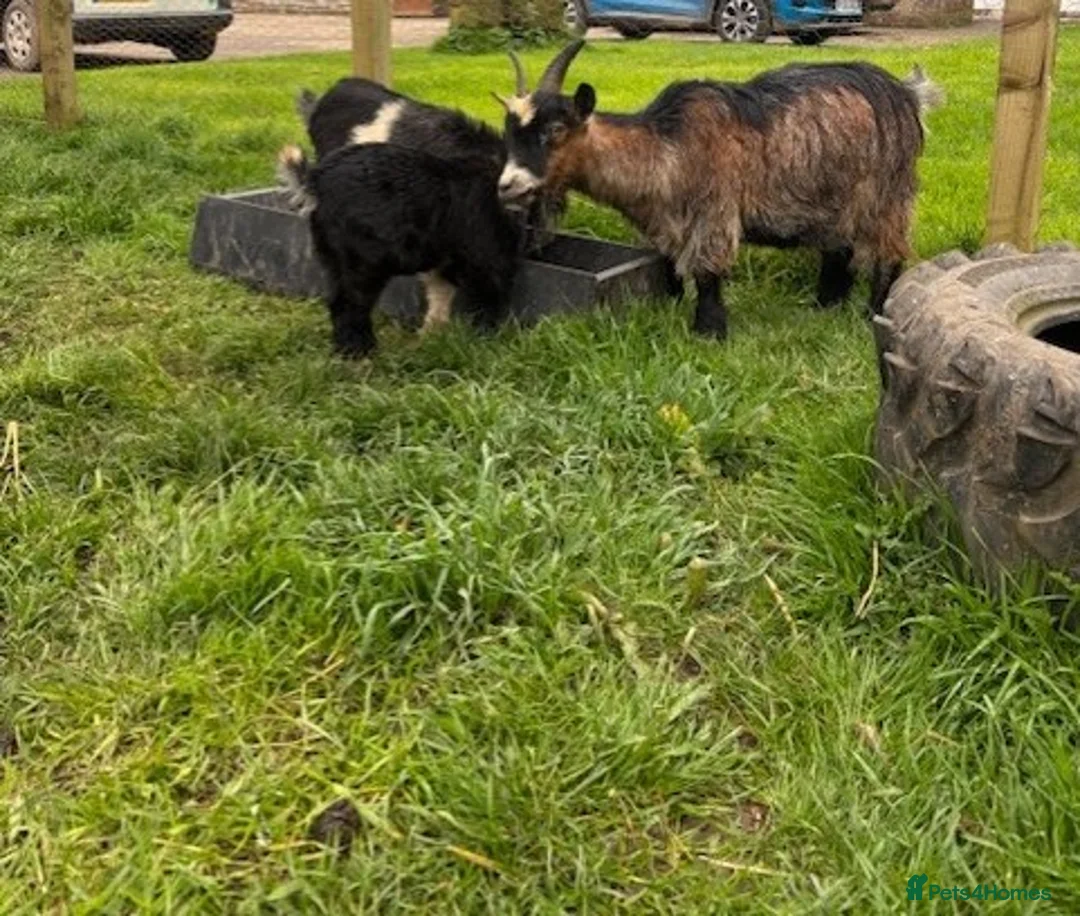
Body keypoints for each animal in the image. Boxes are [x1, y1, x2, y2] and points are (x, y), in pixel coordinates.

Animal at [277, 142, 523, 358]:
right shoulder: (487, 258)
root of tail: (316, 179)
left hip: (334, 257)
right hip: (365, 262)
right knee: (351, 304)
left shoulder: (446, 262)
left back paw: (347, 350)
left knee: (337, 301)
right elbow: (486, 297)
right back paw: (362, 351)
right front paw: (485, 338)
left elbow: (441, 294)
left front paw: (432, 335)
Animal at [495, 41, 944, 340]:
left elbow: (707, 271)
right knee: (840, 247)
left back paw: (873, 314)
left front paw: (708, 333)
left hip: (886, 192)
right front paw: (672, 304)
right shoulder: (665, 222)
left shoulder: (713, 210)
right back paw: (823, 307)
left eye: (555, 130)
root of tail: (906, 93)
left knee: (888, 252)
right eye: (510, 132)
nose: (507, 186)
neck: (667, 146)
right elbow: (668, 263)